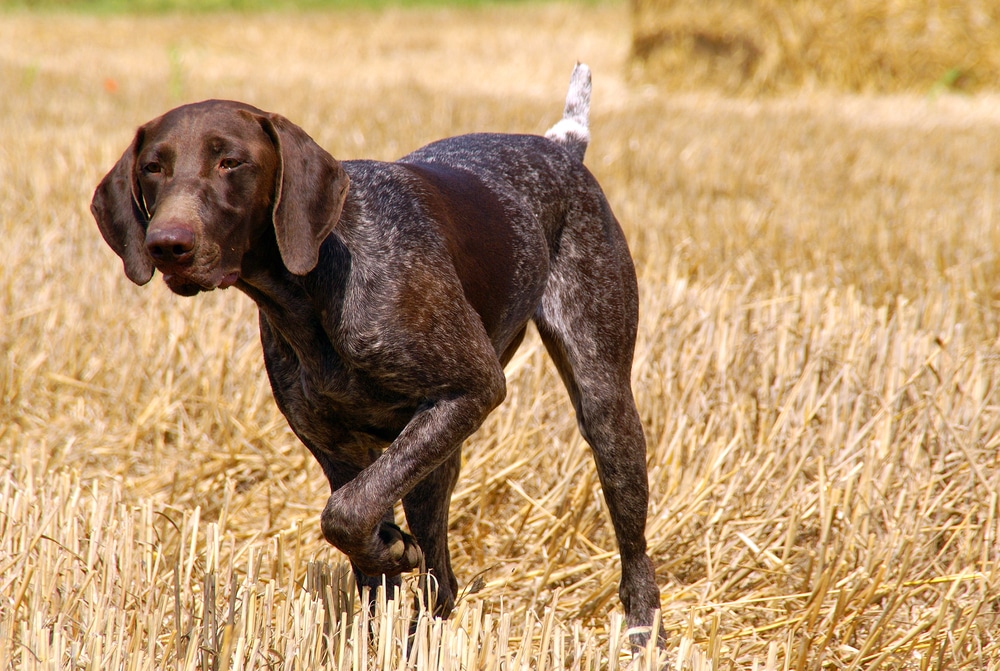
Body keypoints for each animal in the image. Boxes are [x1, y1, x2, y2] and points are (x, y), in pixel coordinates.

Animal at [90, 64, 660, 644]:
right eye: (153, 168)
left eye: (231, 162)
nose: (167, 245)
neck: (313, 284)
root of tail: (562, 146)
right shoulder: (333, 444)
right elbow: (360, 544)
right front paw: (376, 602)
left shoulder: (473, 389)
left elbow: (345, 513)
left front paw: (389, 549)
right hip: (437, 463)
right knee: (441, 583)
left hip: (603, 407)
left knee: (633, 551)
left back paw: (643, 635)